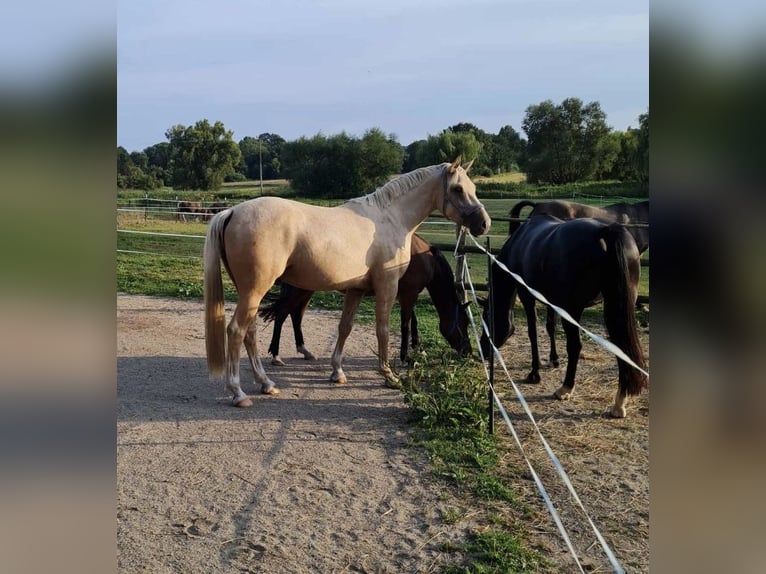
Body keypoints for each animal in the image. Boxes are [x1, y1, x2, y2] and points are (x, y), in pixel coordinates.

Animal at [260, 234, 472, 364]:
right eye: (464, 323)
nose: (468, 352)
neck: (425, 259)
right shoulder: (408, 294)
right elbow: (406, 324)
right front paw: (407, 356)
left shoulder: (406, 294)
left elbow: (414, 321)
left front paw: (418, 349)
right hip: (299, 290)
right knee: (282, 315)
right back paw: (276, 355)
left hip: (306, 290)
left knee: (295, 315)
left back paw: (305, 351)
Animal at [484, 216, 652, 418]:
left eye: (487, 317)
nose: (483, 351)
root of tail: (605, 230)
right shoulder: (549, 299)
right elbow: (550, 327)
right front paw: (554, 360)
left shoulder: (528, 296)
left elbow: (533, 333)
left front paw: (534, 374)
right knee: (621, 349)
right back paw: (619, 403)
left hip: (574, 310)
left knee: (575, 346)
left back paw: (565, 389)